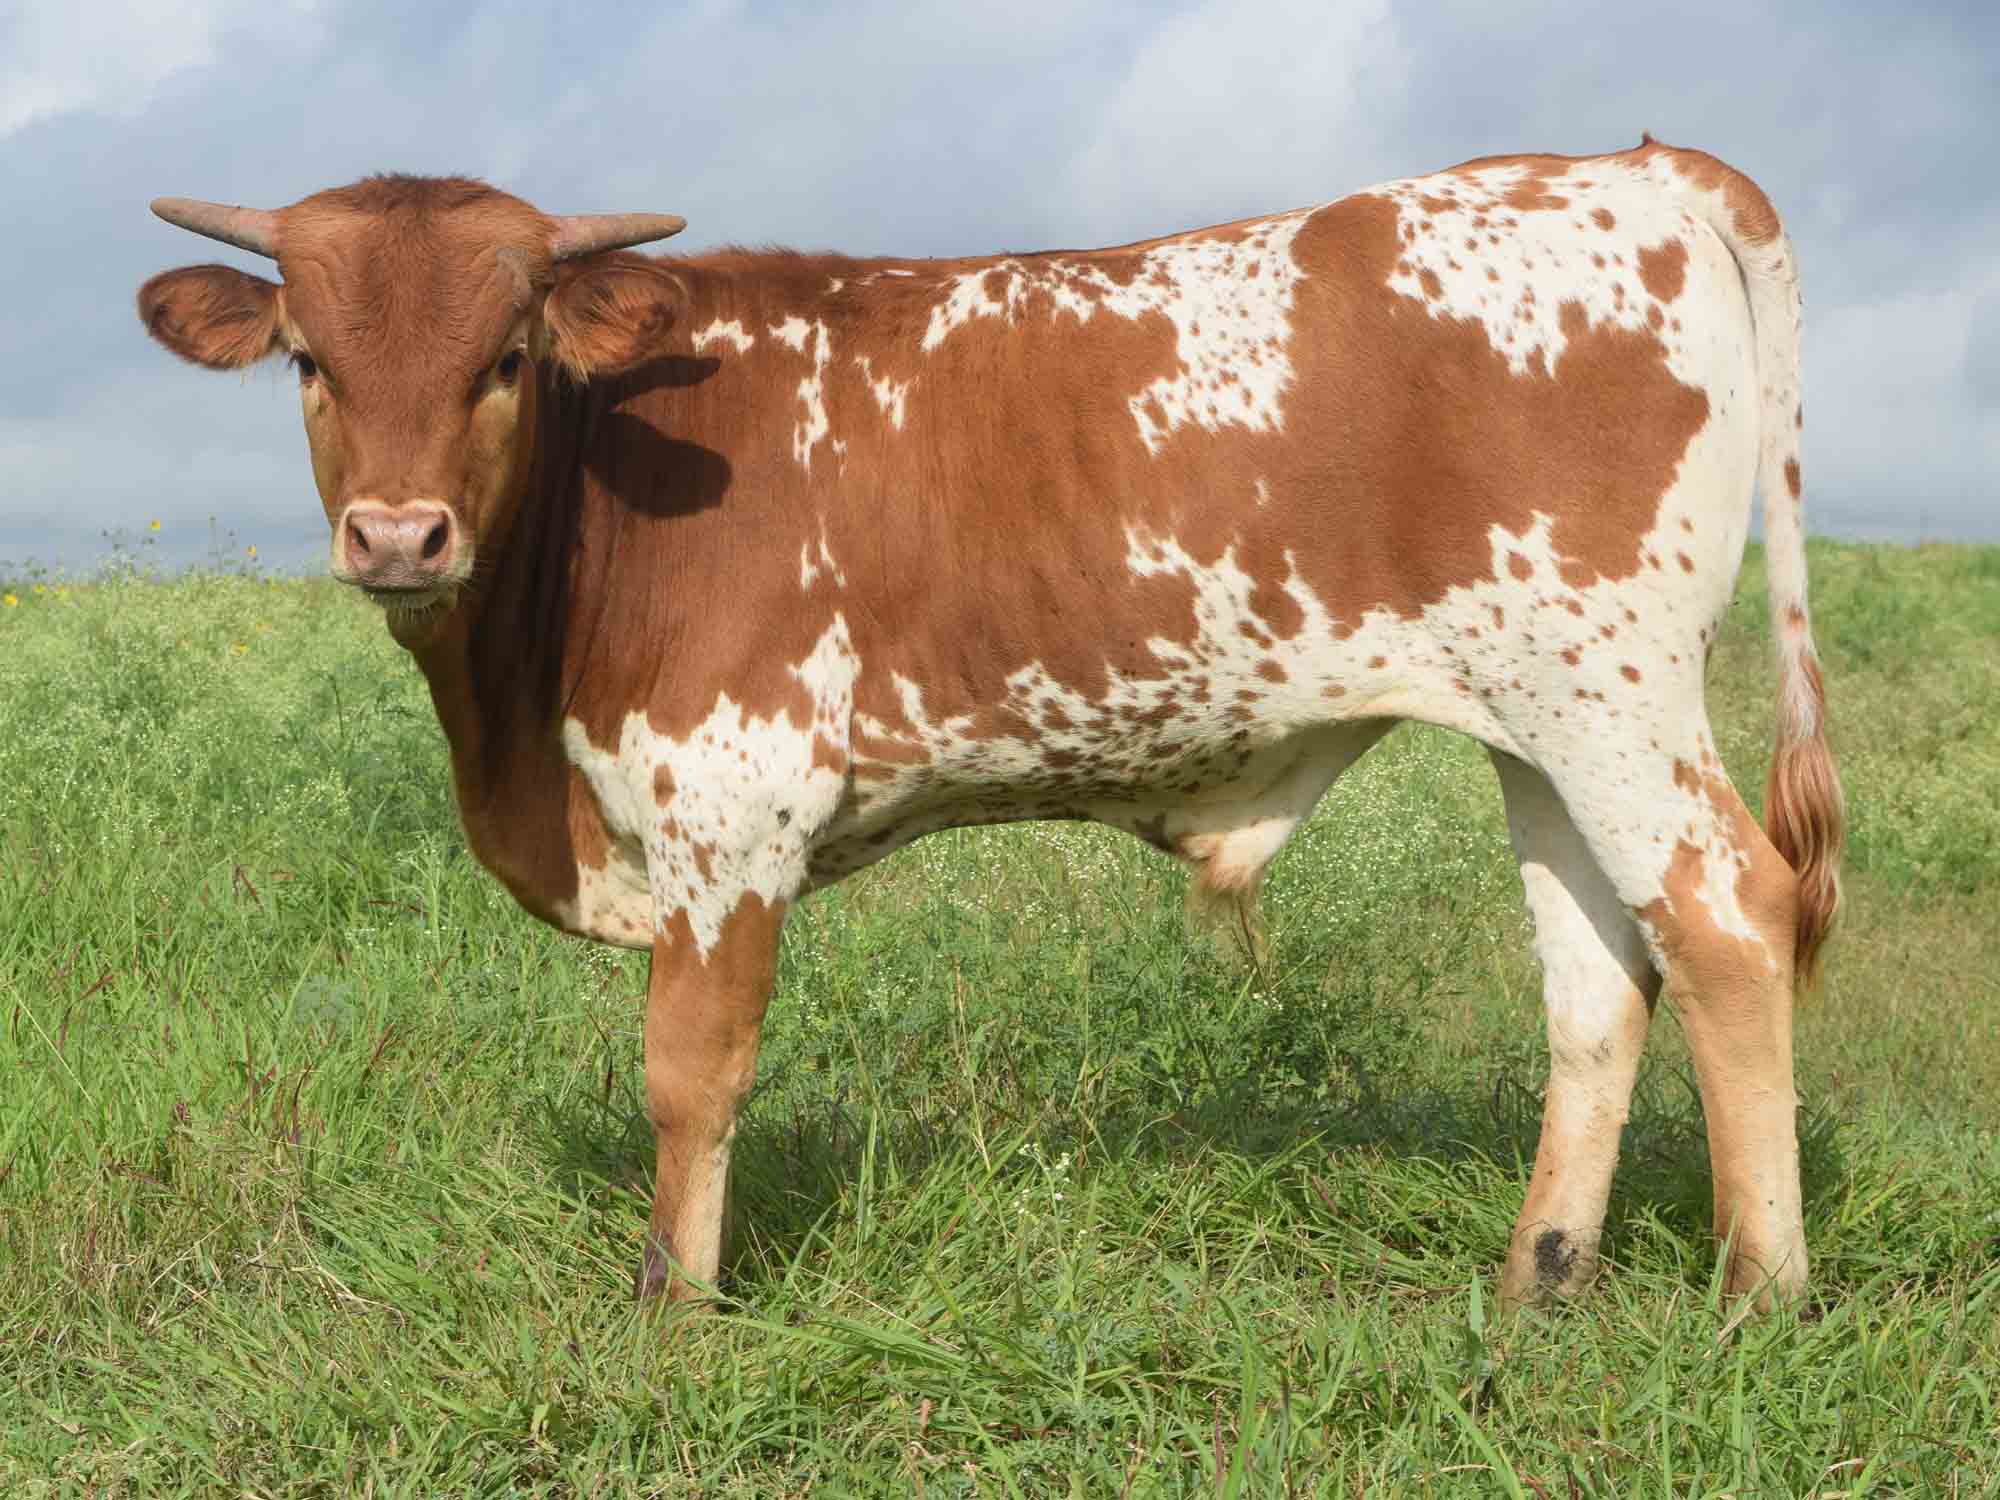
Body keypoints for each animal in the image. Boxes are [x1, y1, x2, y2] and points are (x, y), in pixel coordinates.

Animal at [138, 136, 1841, 1312]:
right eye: (310, 361)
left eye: (505, 360)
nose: (397, 536)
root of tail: (1628, 167)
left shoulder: (728, 802)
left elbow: (692, 1071)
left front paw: (673, 1308)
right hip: (1536, 722)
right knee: (1600, 974)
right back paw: (1538, 1281)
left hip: (1610, 691)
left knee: (1727, 919)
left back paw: (1759, 1291)